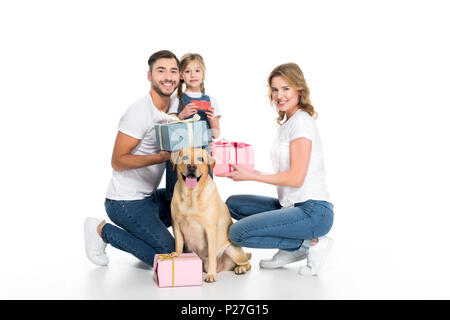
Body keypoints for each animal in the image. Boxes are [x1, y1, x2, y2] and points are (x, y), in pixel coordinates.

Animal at [170, 148, 251, 282]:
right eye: (185, 157)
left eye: (201, 159)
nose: (191, 166)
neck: (190, 196)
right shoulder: (176, 225)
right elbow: (178, 245)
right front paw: (177, 255)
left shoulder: (210, 229)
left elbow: (212, 254)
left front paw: (211, 275)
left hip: (232, 250)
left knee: (247, 262)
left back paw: (240, 268)